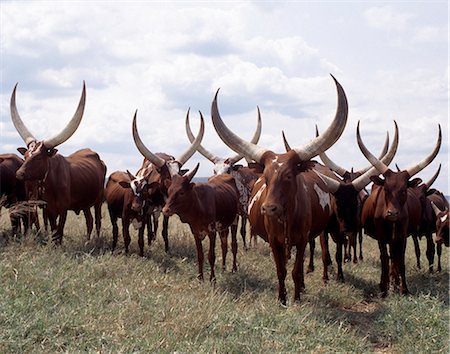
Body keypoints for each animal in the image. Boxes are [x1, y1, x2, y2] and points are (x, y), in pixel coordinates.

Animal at [10, 82, 106, 243]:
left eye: (39, 158)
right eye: (26, 156)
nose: (19, 173)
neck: (51, 183)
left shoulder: (63, 209)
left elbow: (59, 231)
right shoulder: (49, 209)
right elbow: (54, 229)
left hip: (98, 201)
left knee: (97, 220)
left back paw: (96, 240)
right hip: (85, 203)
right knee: (89, 220)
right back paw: (87, 241)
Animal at [131, 109, 205, 253]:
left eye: (181, 174)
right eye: (167, 177)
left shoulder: (167, 208)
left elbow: (164, 230)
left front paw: (166, 249)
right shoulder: (145, 207)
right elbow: (144, 227)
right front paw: (145, 247)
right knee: (149, 223)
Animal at [211, 75, 348, 304]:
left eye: (289, 176)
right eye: (265, 178)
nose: (269, 209)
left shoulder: (302, 240)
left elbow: (296, 271)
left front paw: (296, 297)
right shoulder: (275, 241)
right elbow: (281, 270)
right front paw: (282, 299)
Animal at [358, 121, 442, 296]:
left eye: (404, 190)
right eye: (385, 189)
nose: (392, 213)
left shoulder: (403, 235)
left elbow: (400, 259)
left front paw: (403, 288)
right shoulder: (381, 236)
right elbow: (385, 259)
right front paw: (383, 289)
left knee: (396, 257)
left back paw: (395, 282)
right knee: (390, 257)